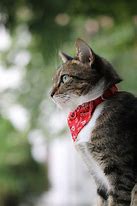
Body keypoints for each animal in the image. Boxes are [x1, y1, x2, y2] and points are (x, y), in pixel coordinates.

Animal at [50, 39, 137, 206]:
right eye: (53, 80)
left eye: (65, 78)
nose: (50, 94)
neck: (91, 108)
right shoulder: (96, 175)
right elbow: (101, 199)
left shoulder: (121, 174)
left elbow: (117, 199)